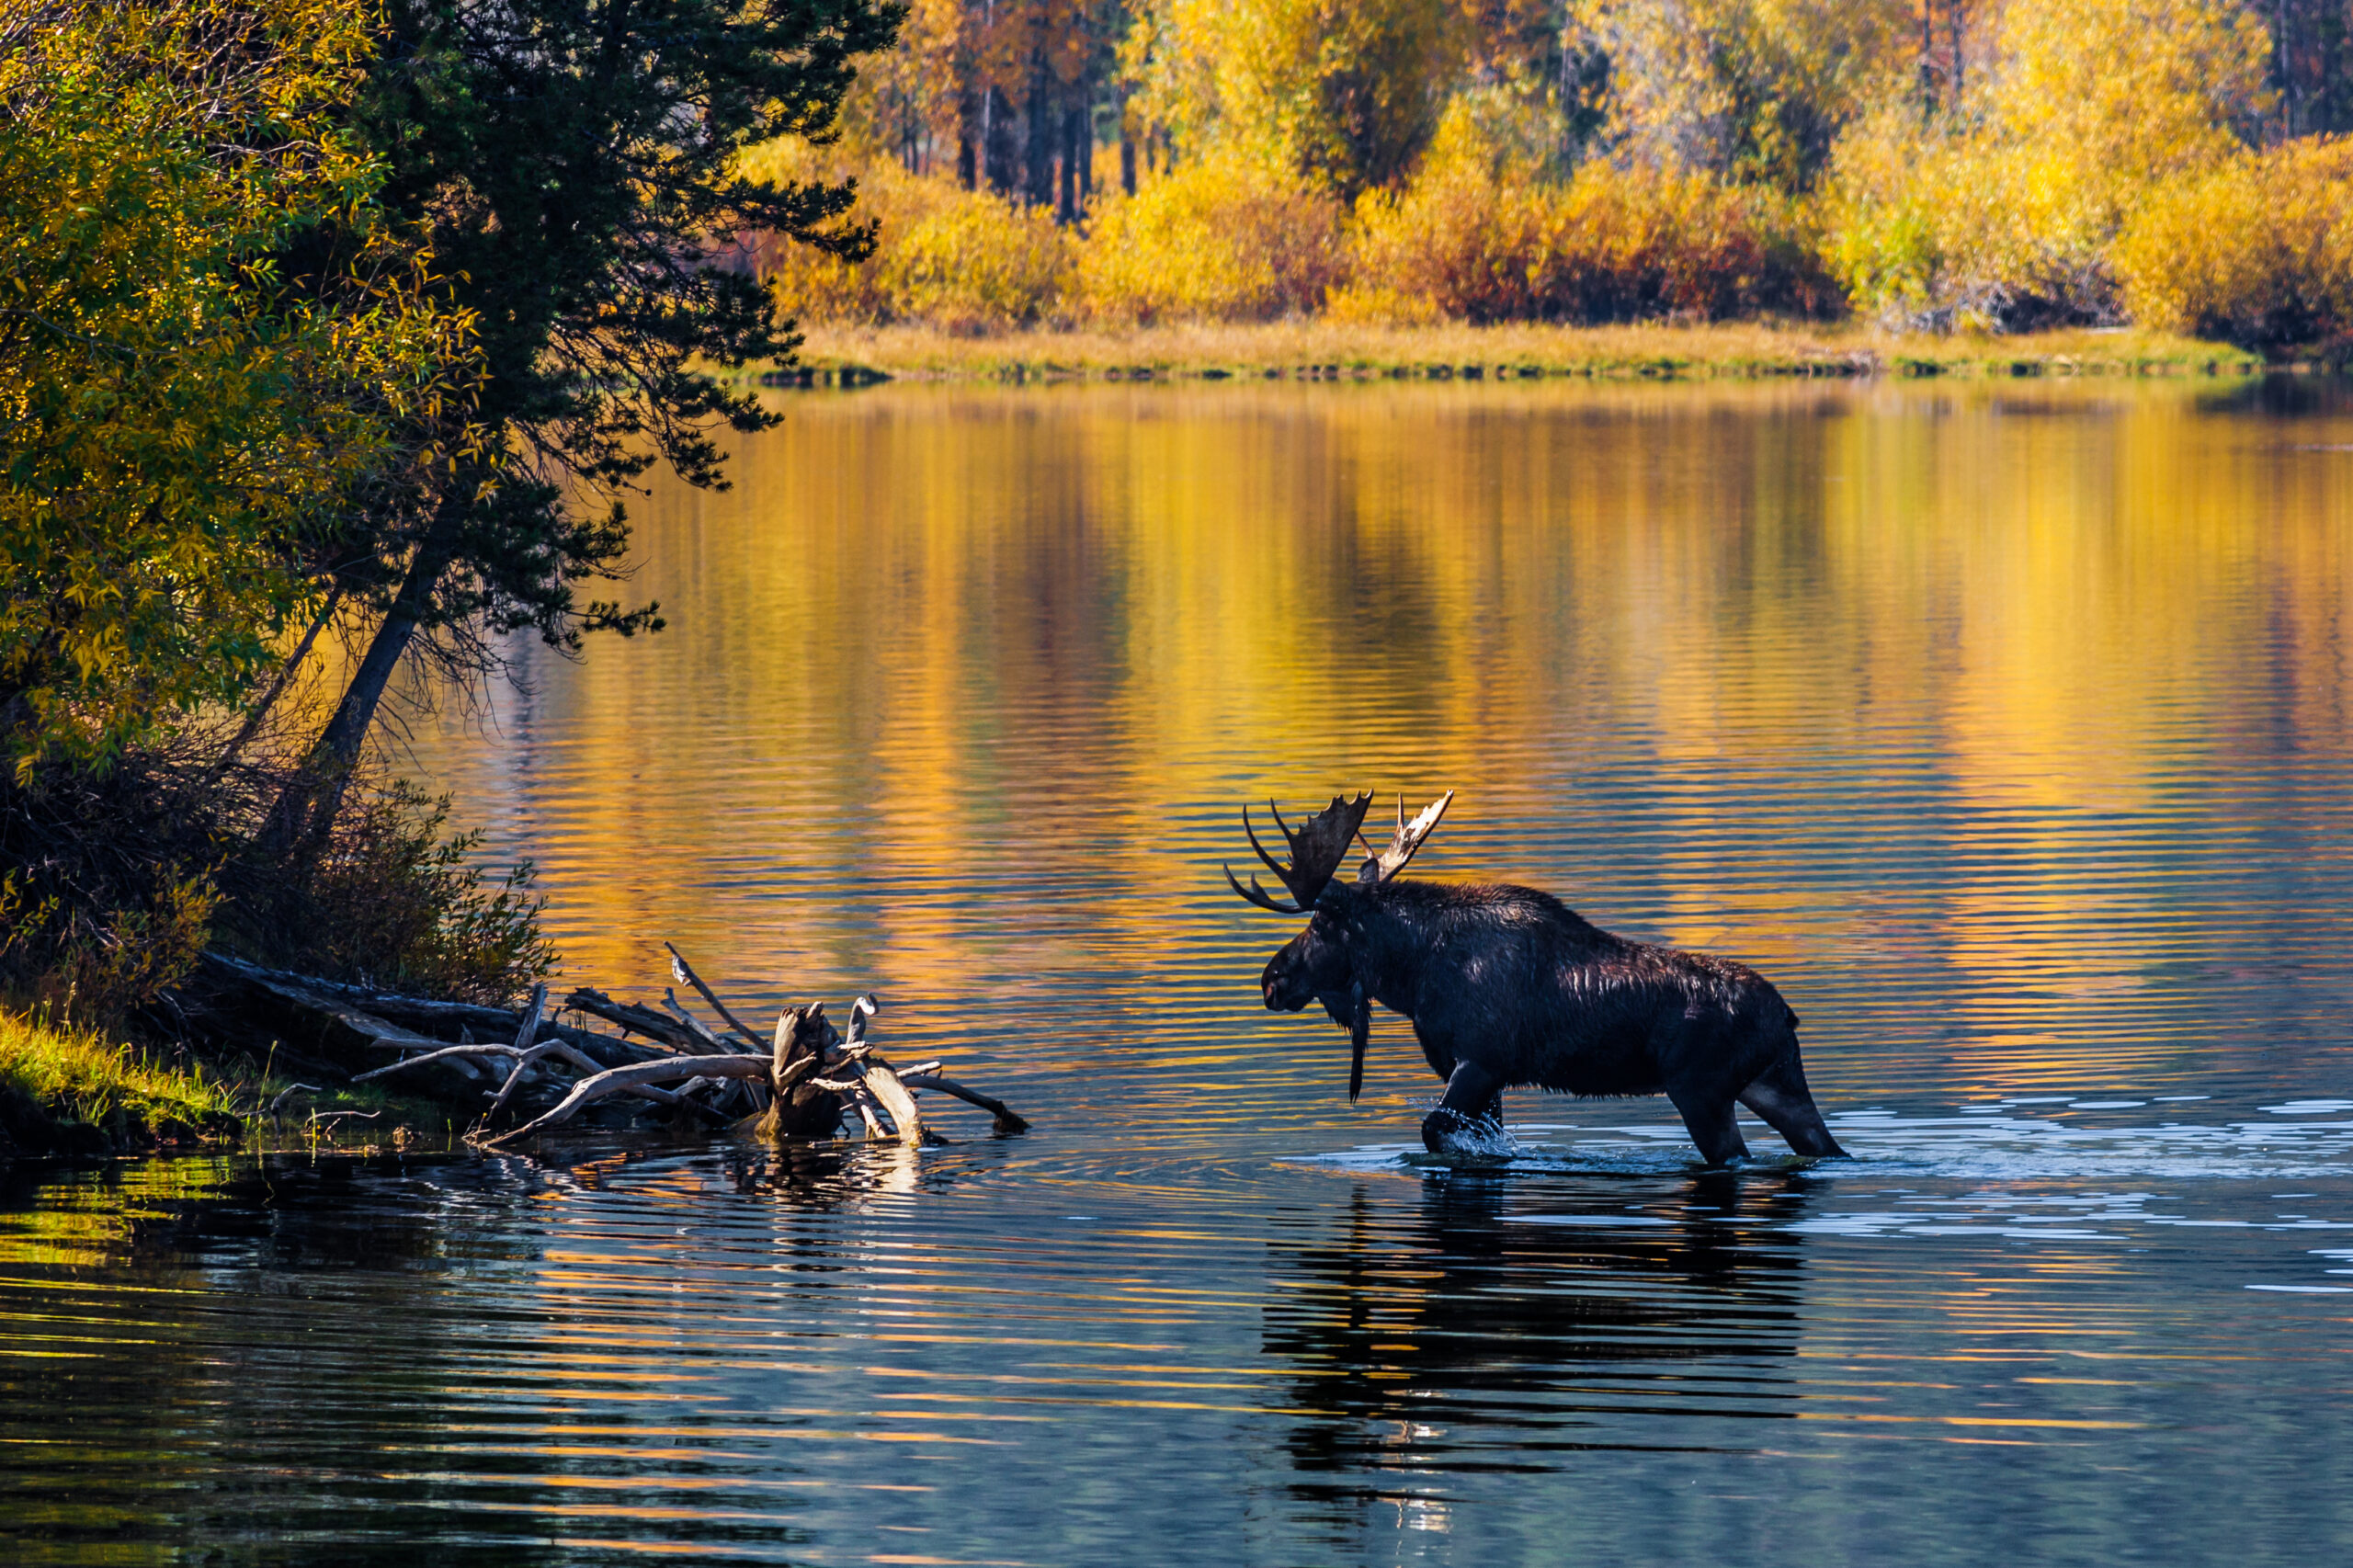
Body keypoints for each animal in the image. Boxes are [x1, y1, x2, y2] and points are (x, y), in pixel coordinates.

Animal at [1223, 786, 1845, 1167]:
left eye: (1321, 922)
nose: (1271, 979)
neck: (1412, 978)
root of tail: (1787, 1016)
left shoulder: (1481, 1060)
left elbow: (1435, 1130)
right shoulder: (1478, 1071)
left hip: (1702, 1090)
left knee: (1737, 1157)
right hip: (1775, 1085)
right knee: (1824, 1145)